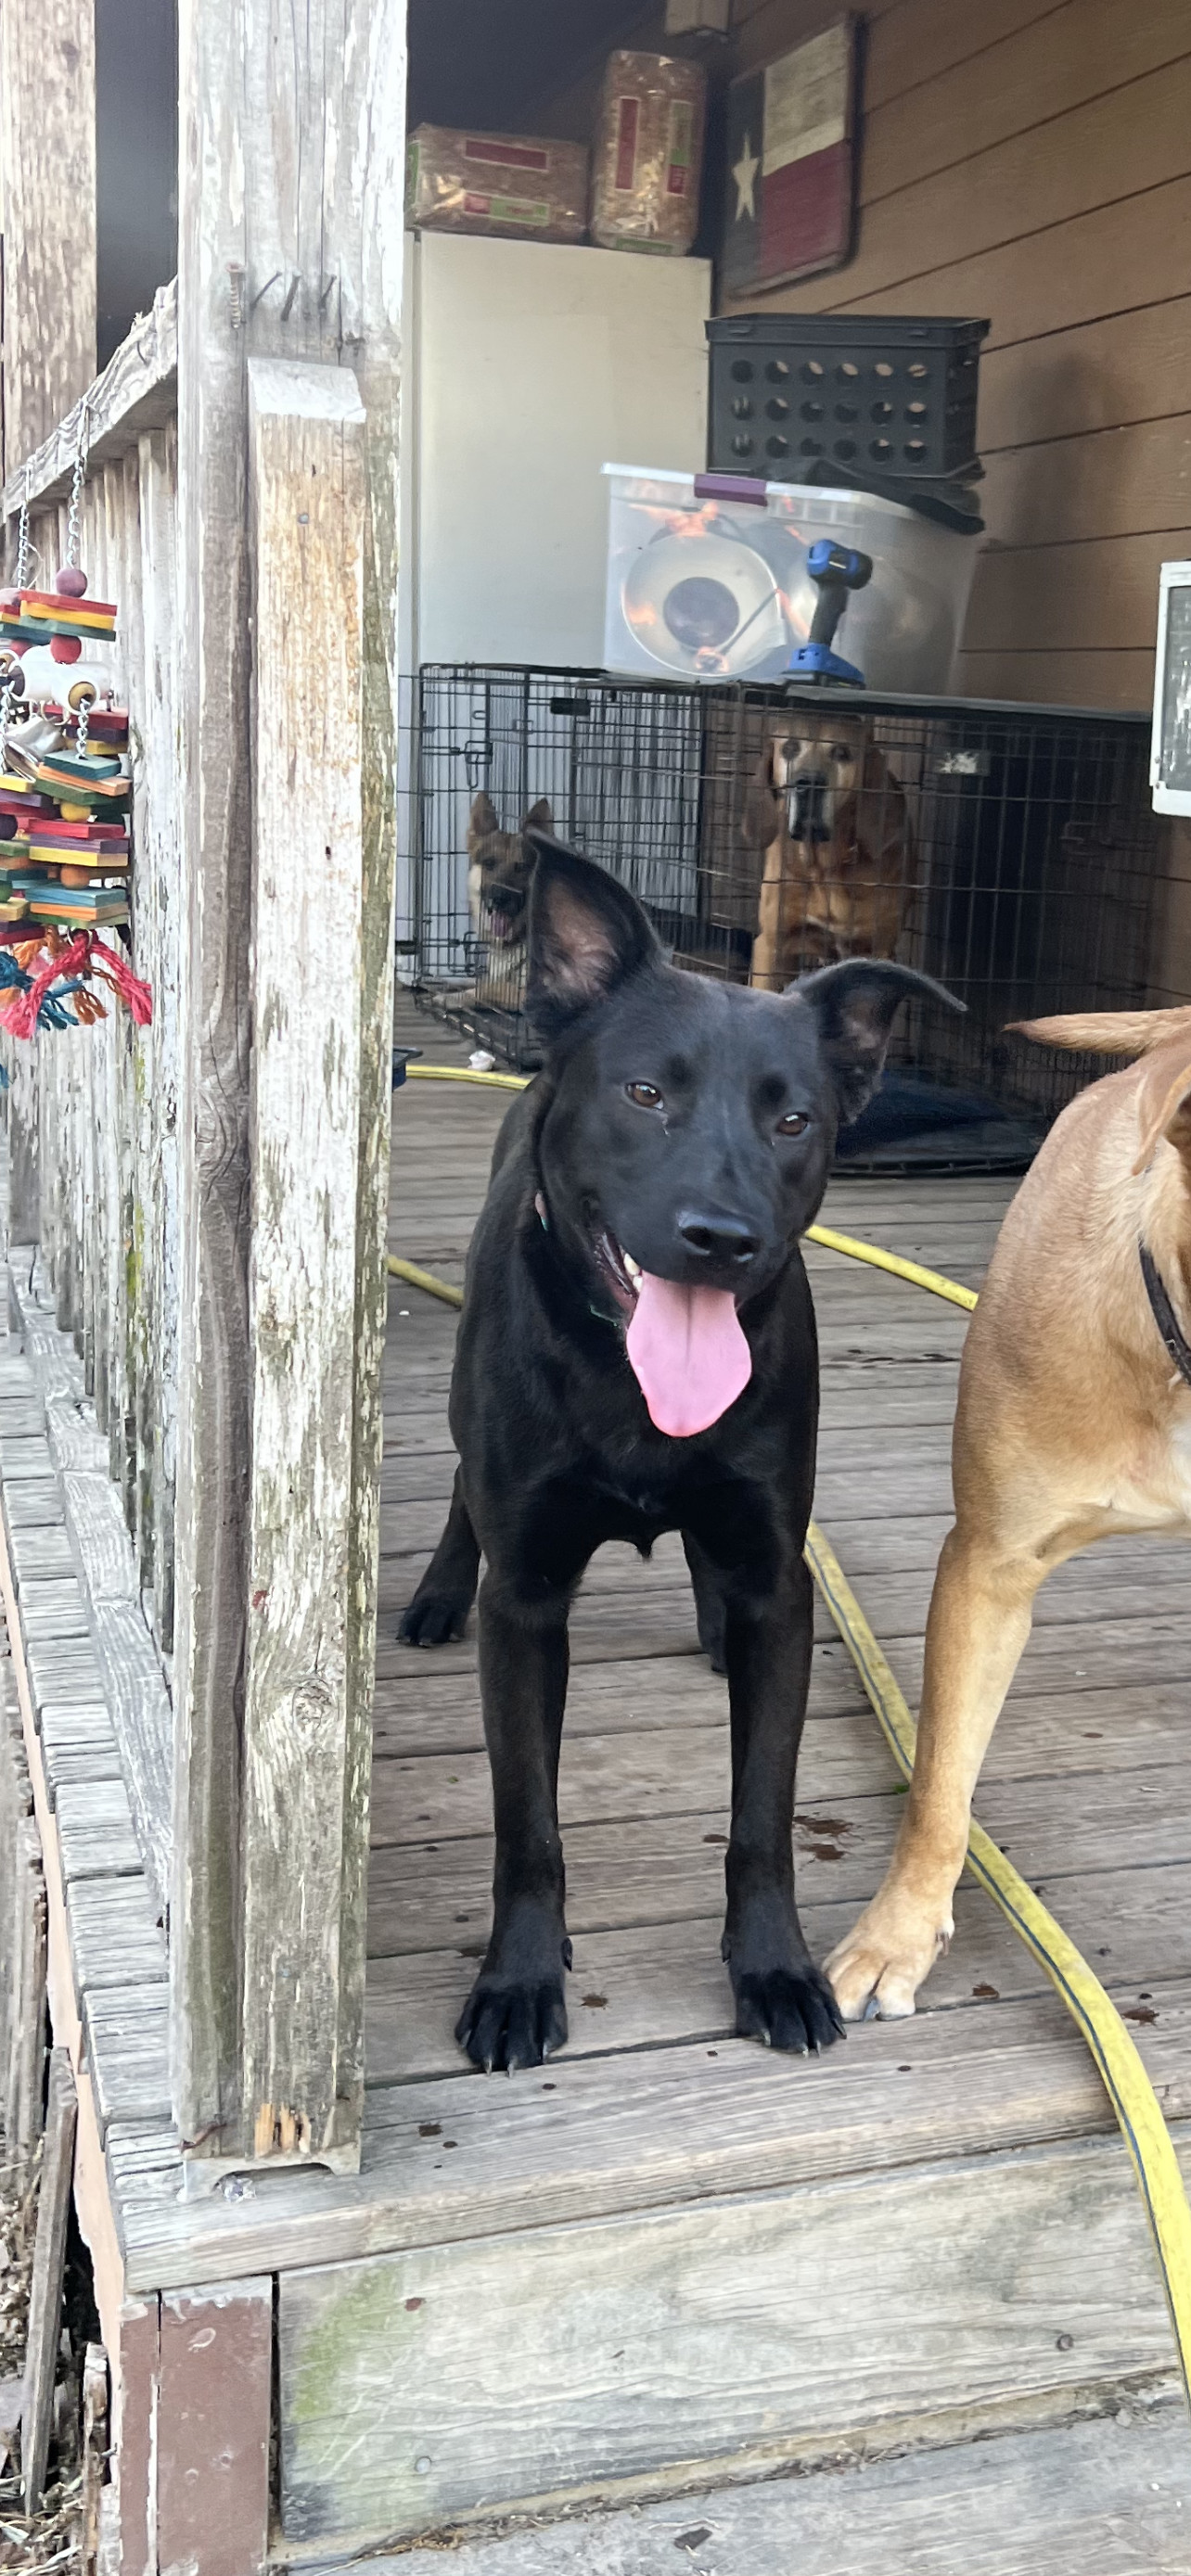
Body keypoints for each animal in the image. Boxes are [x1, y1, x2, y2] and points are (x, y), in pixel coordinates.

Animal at [402, 845, 958, 2071]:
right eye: (646, 1096)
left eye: (795, 1119)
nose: (723, 1238)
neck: (634, 1387)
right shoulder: (527, 1605)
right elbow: (527, 1824)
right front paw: (518, 1981)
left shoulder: (778, 1585)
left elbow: (762, 1815)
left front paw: (775, 1969)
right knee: (459, 1489)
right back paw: (433, 1593)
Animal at [736, 710, 917, 988]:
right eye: (789, 748)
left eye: (842, 752)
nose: (808, 783)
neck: (826, 868)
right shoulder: (772, 944)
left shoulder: (878, 948)